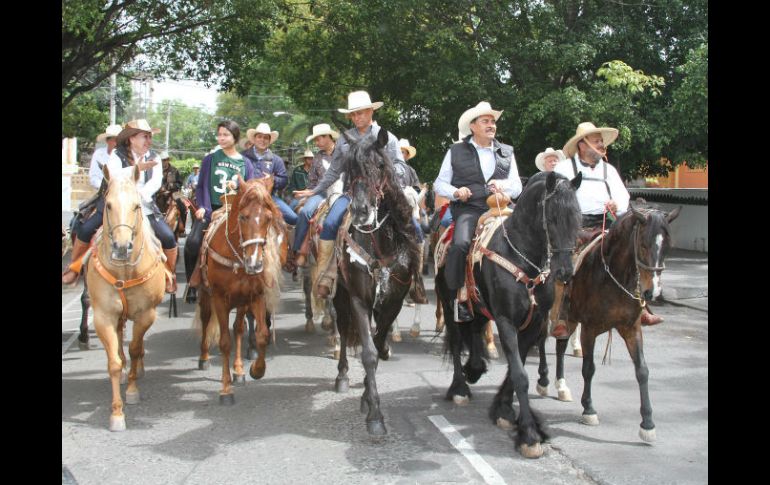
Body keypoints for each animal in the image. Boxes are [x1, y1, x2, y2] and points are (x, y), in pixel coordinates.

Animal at [85, 165, 167, 432]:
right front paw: (117, 413)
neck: (124, 272)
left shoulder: (146, 314)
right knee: (120, 339)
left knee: (135, 348)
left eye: (136, 206)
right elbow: (114, 362)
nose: (122, 247)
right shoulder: (104, 316)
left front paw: (131, 392)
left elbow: (135, 348)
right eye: (108, 204)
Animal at [195, 176, 284, 402]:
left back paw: (238, 371)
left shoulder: (256, 296)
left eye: (268, 218)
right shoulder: (219, 298)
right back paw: (204, 357)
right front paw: (226, 389)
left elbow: (261, 334)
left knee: (238, 329)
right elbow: (224, 341)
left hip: (241, 302)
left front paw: (256, 370)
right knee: (206, 320)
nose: (255, 263)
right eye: (243, 217)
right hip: (206, 295)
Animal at [436, 171, 580, 458]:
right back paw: (460, 387)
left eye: (577, 217)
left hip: (479, 307)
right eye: (552, 217)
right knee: (457, 342)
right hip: (449, 305)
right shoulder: (506, 322)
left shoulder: (533, 324)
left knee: (476, 331)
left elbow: (517, 370)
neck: (523, 259)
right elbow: (520, 376)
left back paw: (475, 368)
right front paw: (529, 435)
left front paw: (503, 410)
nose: (565, 272)